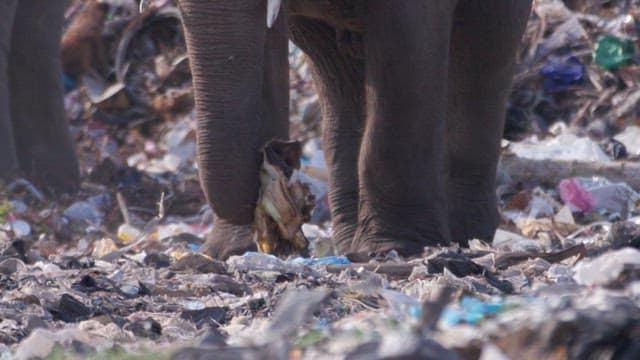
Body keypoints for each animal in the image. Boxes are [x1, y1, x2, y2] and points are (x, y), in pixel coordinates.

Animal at [179, 0, 528, 258]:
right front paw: (233, 251)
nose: (277, 153)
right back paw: (351, 245)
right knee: (337, 70)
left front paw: (396, 247)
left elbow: (406, 48)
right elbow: (270, 44)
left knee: (483, 54)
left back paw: (465, 236)